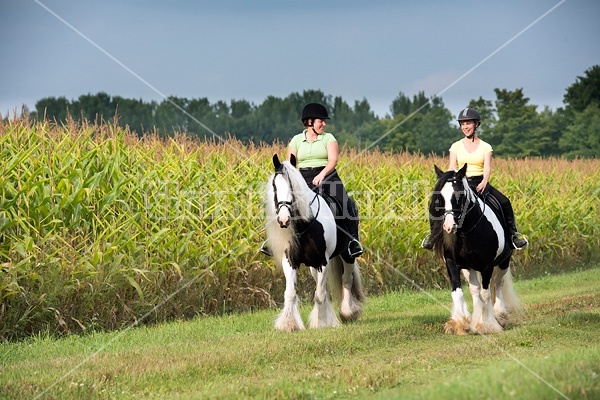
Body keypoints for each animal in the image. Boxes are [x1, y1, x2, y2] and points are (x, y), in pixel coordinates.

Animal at [264, 153, 364, 332]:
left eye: (293, 187)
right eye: (275, 186)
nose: (283, 219)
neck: (305, 224)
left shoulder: (322, 262)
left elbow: (320, 294)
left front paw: (321, 322)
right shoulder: (290, 261)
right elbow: (291, 293)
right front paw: (289, 324)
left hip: (347, 255)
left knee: (346, 280)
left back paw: (348, 312)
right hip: (312, 266)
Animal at [428, 163, 516, 334]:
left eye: (459, 195)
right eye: (440, 196)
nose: (448, 226)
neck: (466, 232)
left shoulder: (487, 265)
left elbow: (486, 294)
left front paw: (488, 324)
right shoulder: (452, 263)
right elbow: (458, 292)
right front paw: (460, 323)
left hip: (504, 262)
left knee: (498, 284)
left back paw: (499, 316)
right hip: (469, 268)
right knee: (475, 291)